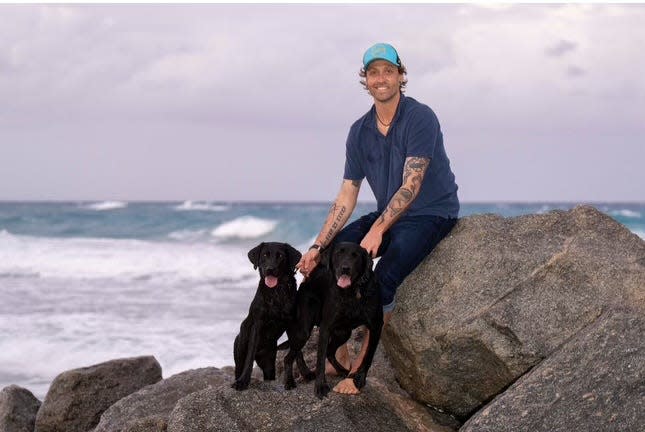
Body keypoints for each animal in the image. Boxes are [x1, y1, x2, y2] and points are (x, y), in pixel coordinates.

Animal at [231, 243, 302, 392]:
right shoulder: (258, 324)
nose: (270, 269)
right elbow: (249, 358)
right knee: (240, 366)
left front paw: (294, 379)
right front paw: (243, 382)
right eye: (264, 255)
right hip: (239, 353)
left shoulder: (292, 323)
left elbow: (296, 353)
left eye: (280, 256)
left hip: (269, 364)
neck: (276, 292)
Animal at [284, 241, 382, 396]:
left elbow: (368, 356)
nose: (345, 268)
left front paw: (360, 378)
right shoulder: (326, 328)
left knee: (330, 352)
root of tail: (308, 280)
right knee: (289, 357)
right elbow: (320, 360)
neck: (351, 292)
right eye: (338, 254)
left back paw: (342, 371)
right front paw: (320, 386)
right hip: (304, 331)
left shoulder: (376, 326)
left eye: (355, 256)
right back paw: (290, 381)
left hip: (343, 332)